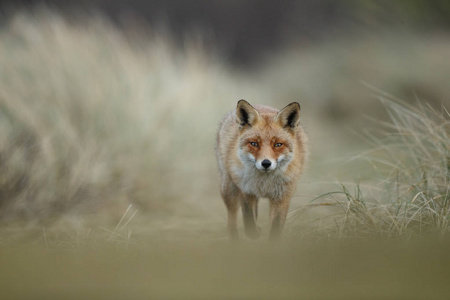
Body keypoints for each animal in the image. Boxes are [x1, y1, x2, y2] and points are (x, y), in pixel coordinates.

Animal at [216, 99, 308, 240]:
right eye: (254, 143)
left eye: (278, 144)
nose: (266, 163)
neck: (264, 183)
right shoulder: (245, 190)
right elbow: (248, 218)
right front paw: (254, 233)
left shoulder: (282, 197)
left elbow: (275, 229)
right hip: (228, 189)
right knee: (232, 219)